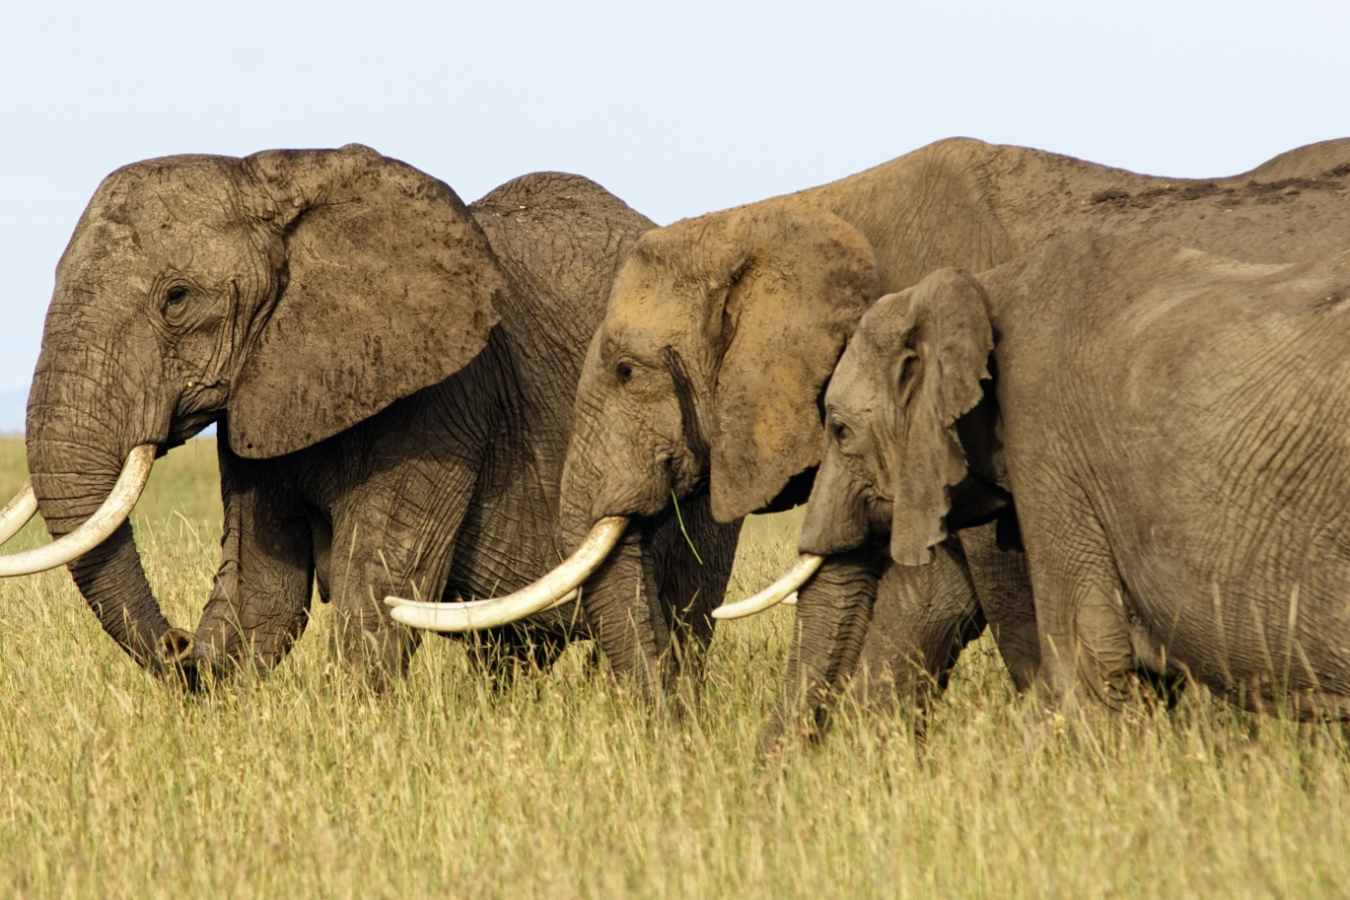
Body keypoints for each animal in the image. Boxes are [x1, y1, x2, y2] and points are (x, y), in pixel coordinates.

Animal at [0, 144, 737, 689]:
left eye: (176, 299)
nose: (179, 643)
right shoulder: (263, 391)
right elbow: (264, 597)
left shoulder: (442, 399)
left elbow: (377, 590)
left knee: (685, 609)